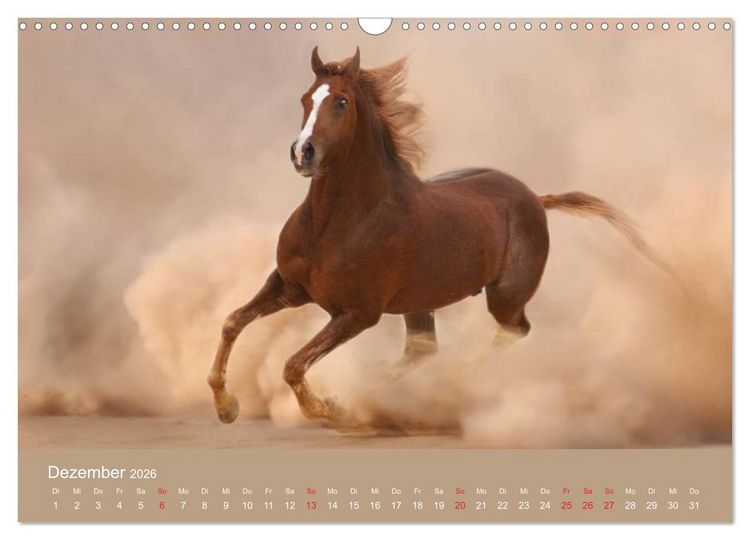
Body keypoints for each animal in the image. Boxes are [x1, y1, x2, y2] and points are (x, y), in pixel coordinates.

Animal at [207, 47, 667, 428]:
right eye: (305, 99)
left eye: (341, 102)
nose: (303, 153)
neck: (335, 223)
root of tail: (535, 197)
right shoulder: (289, 287)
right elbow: (232, 322)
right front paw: (226, 407)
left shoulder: (357, 313)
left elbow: (293, 364)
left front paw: (329, 408)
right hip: (420, 301)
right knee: (423, 350)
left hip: (505, 296)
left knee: (513, 332)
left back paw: (442, 386)